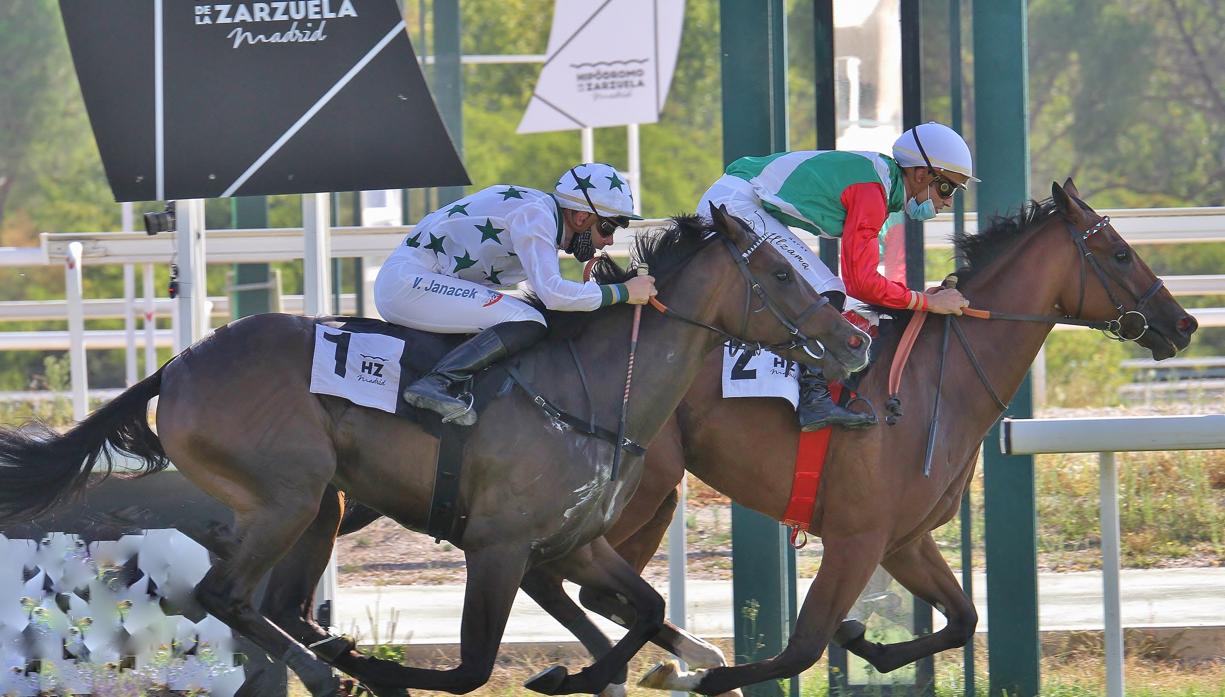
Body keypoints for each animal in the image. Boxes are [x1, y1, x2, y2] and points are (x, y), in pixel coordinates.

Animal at [0, 208, 872, 695]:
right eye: (777, 272)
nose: (853, 340)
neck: (594, 387)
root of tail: (179, 363)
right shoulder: (498, 545)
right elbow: (471, 666)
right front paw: (394, 671)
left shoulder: (573, 541)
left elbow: (648, 608)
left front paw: (598, 668)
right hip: (286, 495)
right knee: (225, 593)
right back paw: (328, 667)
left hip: (321, 505)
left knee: (277, 604)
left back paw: (327, 655)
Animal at [256, 177, 1185, 690]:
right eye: (1118, 252)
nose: (1180, 324)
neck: (934, 384)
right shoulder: (859, 535)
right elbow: (800, 645)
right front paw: (731, 672)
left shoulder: (905, 539)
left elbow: (961, 619)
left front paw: (867, 644)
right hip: (647, 491)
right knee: (574, 581)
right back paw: (661, 658)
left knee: (578, 585)